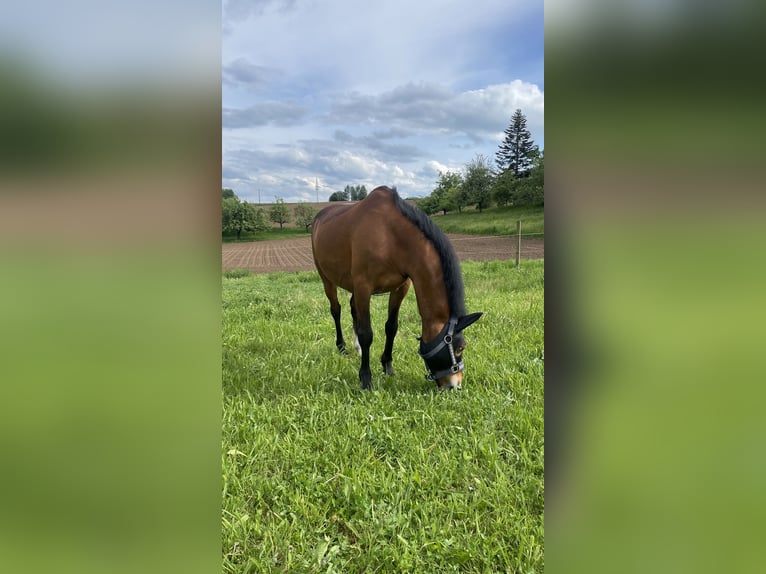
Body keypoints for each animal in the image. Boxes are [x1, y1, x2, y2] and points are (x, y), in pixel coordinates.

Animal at [310, 184, 480, 392]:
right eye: (461, 347)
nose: (454, 386)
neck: (390, 236)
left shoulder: (400, 287)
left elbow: (391, 327)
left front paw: (387, 366)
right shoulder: (364, 287)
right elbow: (367, 333)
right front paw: (365, 379)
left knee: (353, 309)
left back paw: (357, 348)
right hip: (326, 278)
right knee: (336, 310)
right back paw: (341, 346)